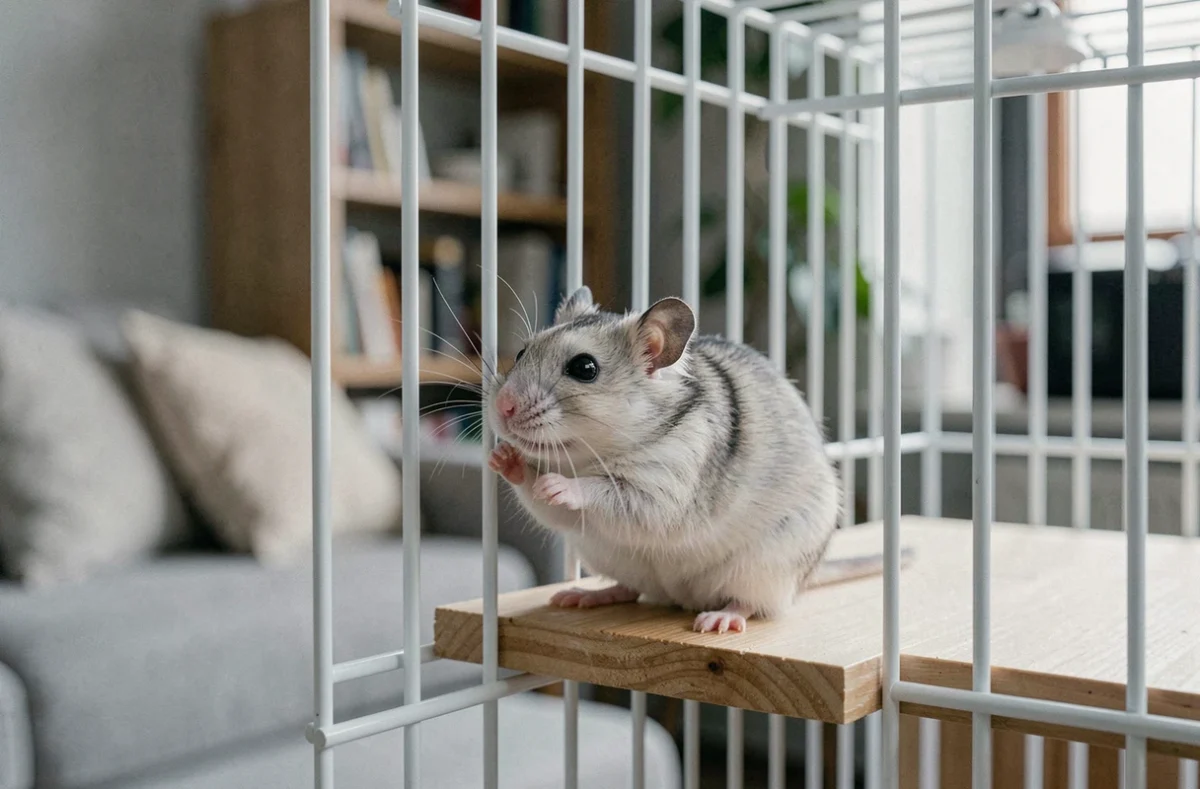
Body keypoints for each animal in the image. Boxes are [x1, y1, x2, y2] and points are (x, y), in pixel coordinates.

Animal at [486, 286, 895, 634]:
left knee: (752, 604)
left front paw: (557, 484)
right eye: (522, 352)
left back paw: (721, 618)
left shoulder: (665, 489)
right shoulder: (576, 518)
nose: (502, 407)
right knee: (632, 589)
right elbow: (546, 507)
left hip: (764, 569)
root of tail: (681, 597)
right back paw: (587, 594)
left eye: (584, 368)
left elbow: (608, 493)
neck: (591, 455)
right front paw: (504, 460)